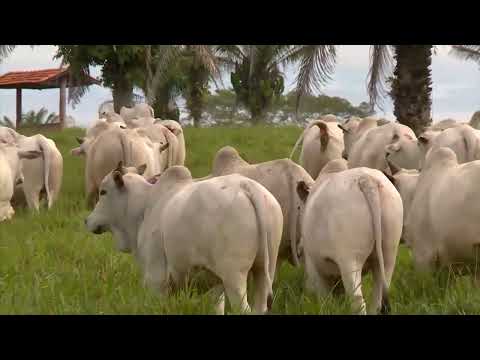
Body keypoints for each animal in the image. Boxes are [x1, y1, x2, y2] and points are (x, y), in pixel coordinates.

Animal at [85, 165, 284, 314]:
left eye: (103, 192)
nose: (87, 220)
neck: (144, 209)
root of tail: (246, 186)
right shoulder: (215, 285)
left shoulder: (155, 280)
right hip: (264, 271)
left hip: (234, 278)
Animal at [298, 160, 404, 316]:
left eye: (300, 254)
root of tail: (366, 179)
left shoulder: (316, 269)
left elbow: (325, 301)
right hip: (388, 255)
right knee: (378, 299)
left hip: (350, 260)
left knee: (358, 302)